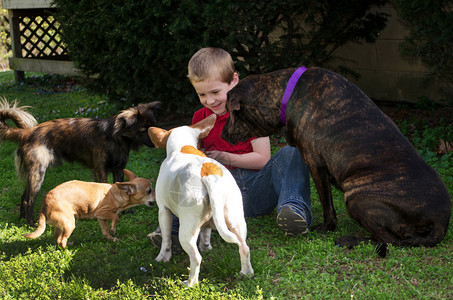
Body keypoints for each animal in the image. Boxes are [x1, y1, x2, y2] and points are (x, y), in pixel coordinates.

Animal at [0, 99, 160, 226]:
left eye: (153, 126)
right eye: (145, 129)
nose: (158, 141)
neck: (117, 138)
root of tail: (27, 133)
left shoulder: (119, 169)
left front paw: (124, 212)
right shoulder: (100, 170)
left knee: (24, 196)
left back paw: (21, 220)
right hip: (37, 173)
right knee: (29, 200)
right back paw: (31, 224)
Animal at [23, 169, 155, 248]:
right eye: (149, 191)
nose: (157, 196)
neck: (119, 192)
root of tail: (44, 204)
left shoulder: (101, 218)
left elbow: (105, 230)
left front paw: (111, 239)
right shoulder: (102, 212)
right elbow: (115, 216)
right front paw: (113, 229)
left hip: (62, 224)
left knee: (57, 236)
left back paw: (68, 244)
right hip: (69, 224)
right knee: (60, 240)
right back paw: (66, 252)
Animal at [148, 114, 254, 286]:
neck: (182, 146)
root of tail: (208, 174)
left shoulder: (163, 211)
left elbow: (165, 240)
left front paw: (163, 257)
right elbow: (206, 232)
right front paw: (206, 246)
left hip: (186, 231)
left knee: (196, 257)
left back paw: (190, 283)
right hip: (236, 220)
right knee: (244, 247)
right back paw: (246, 273)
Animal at [221, 67, 450, 252]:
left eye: (231, 113)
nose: (222, 134)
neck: (287, 94)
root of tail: (441, 219)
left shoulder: (315, 163)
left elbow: (327, 203)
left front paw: (326, 228)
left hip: (358, 198)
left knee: (389, 239)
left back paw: (350, 240)